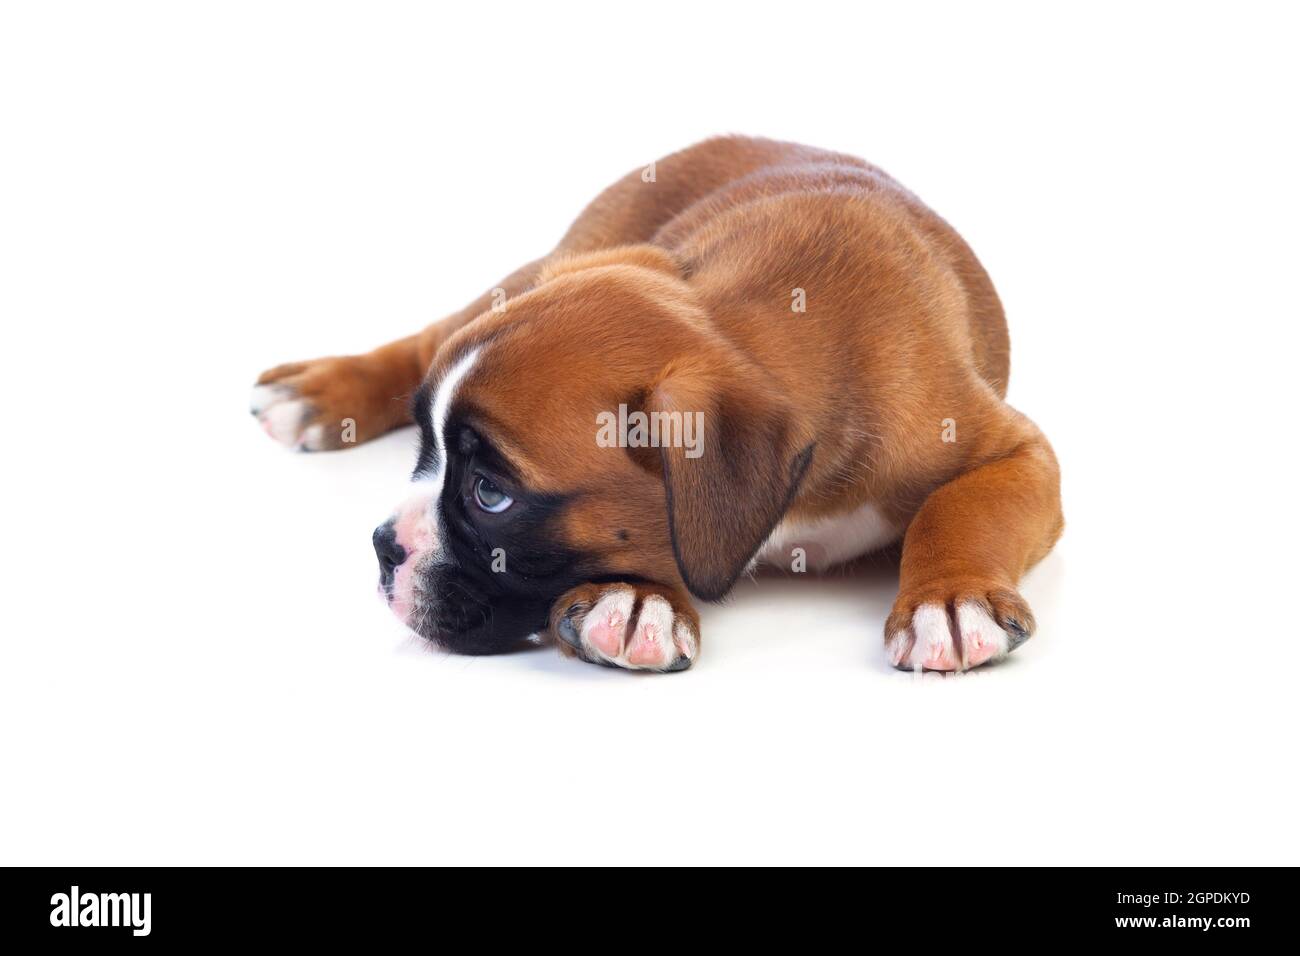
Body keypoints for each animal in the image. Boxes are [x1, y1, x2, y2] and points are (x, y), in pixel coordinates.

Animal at [248, 136, 1060, 671]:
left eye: (489, 493)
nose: (383, 546)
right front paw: (636, 598)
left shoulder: (1018, 453)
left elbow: (962, 507)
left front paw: (948, 599)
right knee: (425, 338)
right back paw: (317, 392)